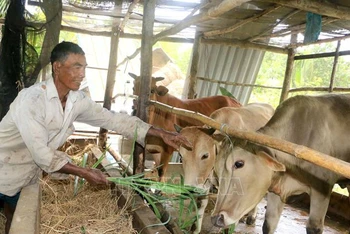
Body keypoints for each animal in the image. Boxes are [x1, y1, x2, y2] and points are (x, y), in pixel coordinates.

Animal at [176, 103, 274, 233]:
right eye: (180, 156)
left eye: (205, 155)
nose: (190, 189)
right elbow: (201, 203)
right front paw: (195, 228)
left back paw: (251, 217)